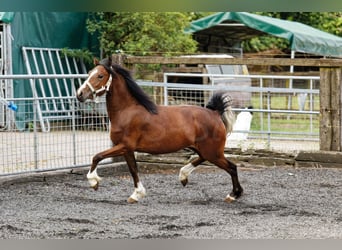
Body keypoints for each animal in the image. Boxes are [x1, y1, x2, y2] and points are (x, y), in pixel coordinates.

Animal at [77, 58, 243, 203]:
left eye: (100, 75)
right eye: (89, 72)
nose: (80, 94)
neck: (127, 111)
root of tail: (215, 113)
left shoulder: (124, 146)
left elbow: (97, 156)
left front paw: (94, 182)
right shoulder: (127, 149)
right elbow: (133, 170)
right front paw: (136, 195)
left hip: (213, 152)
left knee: (232, 167)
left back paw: (233, 195)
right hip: (204, 149)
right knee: (203, 159)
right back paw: (183, 176)